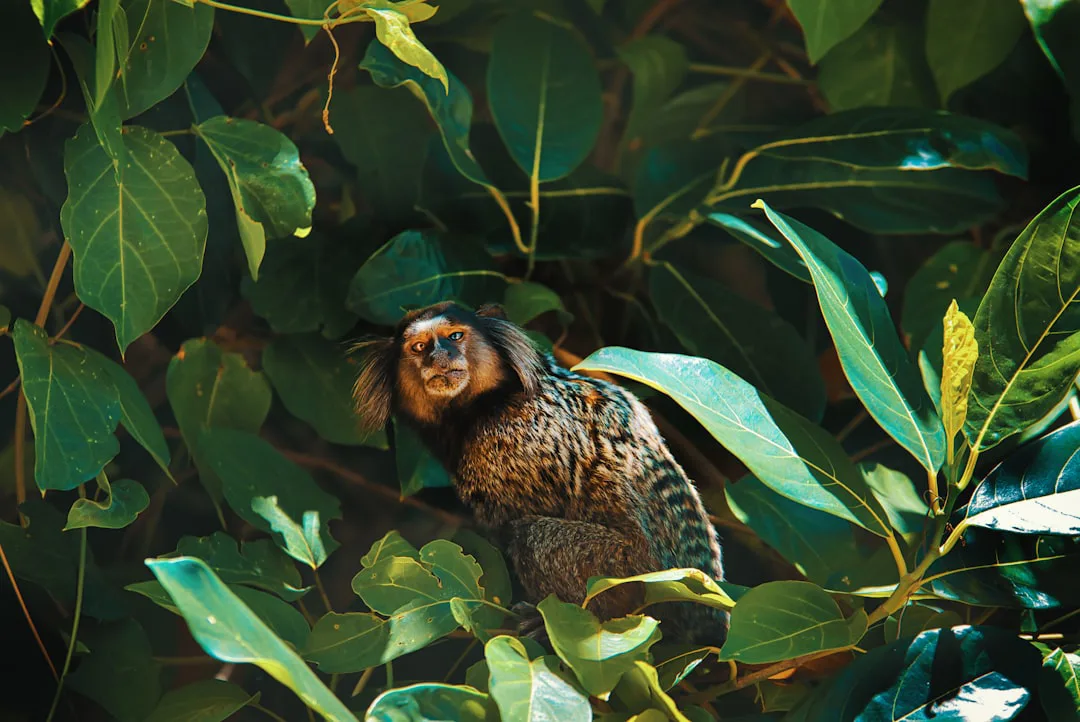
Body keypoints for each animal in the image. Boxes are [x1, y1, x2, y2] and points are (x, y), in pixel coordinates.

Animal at [351, 301, 728, 644]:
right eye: (419, 347)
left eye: (454, 336)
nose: (440, 356)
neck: (487, 403)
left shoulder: (511, 442)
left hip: (627, 571)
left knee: (529, 535)